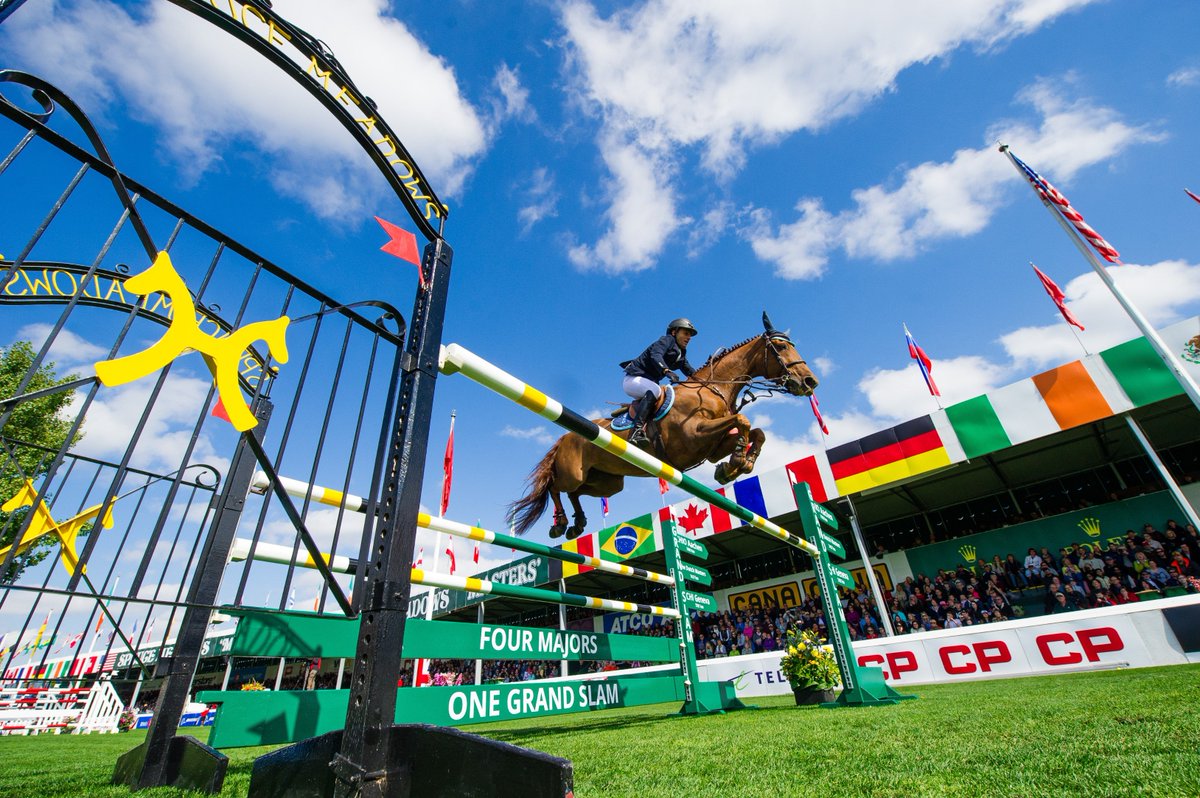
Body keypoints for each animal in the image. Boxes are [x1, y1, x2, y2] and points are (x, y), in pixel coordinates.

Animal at [501, 314, 820, 537]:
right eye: (780, 346)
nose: (810, 381)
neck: (713, 388)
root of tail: (566, 437)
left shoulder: (712, 447)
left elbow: (757, 432)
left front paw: (736, 465)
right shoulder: (693, 436)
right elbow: (743, 420)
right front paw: (738, 462)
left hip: (608, 482)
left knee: (575, 493)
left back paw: (577, 524)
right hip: (573, 472)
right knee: (556, 487)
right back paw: (560, 523)